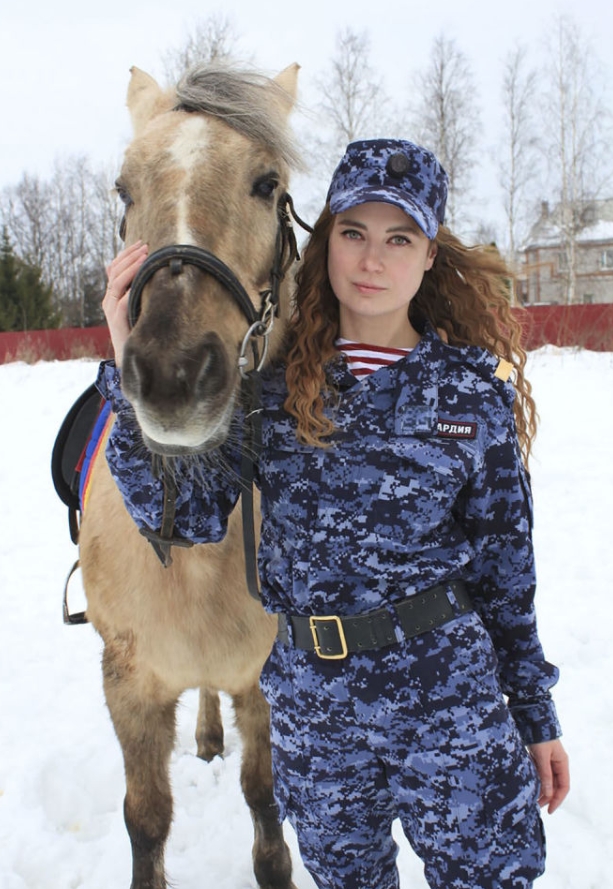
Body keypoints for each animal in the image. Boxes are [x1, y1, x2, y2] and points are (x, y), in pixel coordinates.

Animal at [77, 62, 302, 888]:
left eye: (267, 183)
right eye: (122, 191)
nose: (174, 375)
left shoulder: (266, 678)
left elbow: (264, 799)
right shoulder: (130, 686)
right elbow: (146, 818)